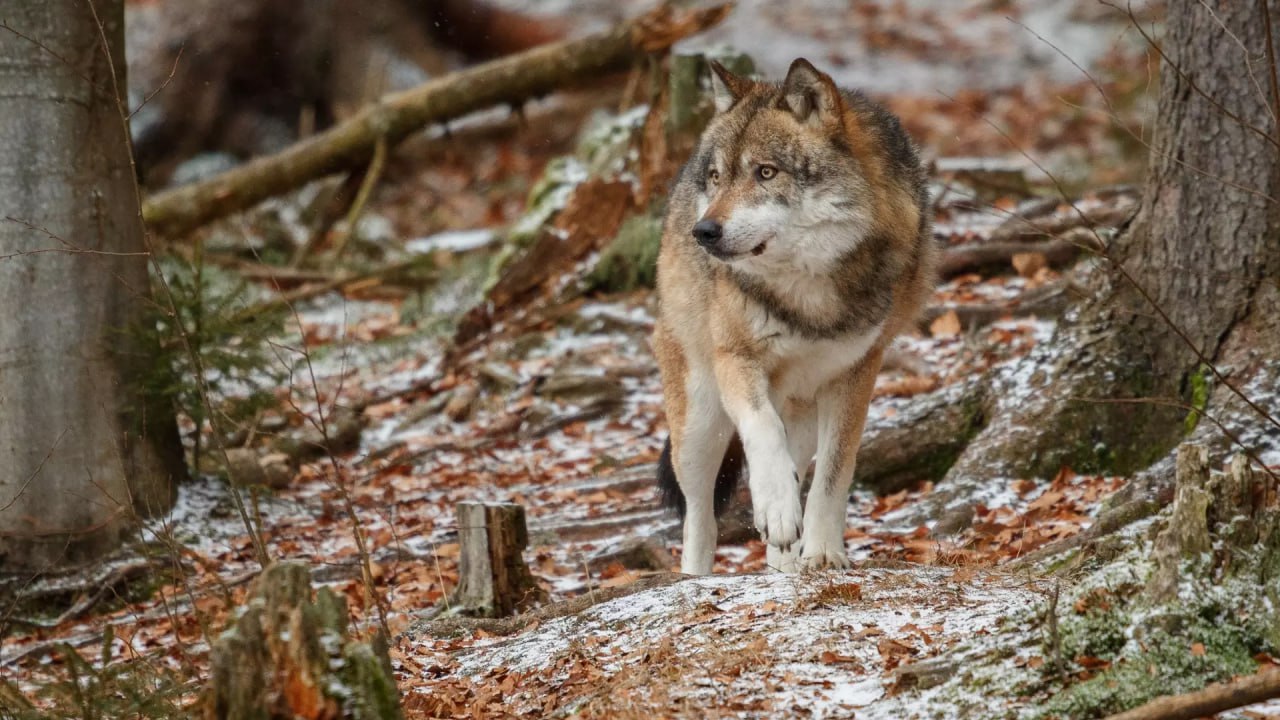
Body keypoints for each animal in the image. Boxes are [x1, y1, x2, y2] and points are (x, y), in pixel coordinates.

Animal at [655, 57, 936, 571]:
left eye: (766, 172)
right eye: (718, 177)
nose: (703, 231)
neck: (808, 294)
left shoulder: (858, 372)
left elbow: (835, 471)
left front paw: (823, 552)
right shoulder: (735, 358)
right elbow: (762, 431)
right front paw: (778, 508)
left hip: (800, 408)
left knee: (793, 471)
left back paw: (783, 566)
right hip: (700, 420)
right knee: (699, 516)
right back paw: (697, 575)